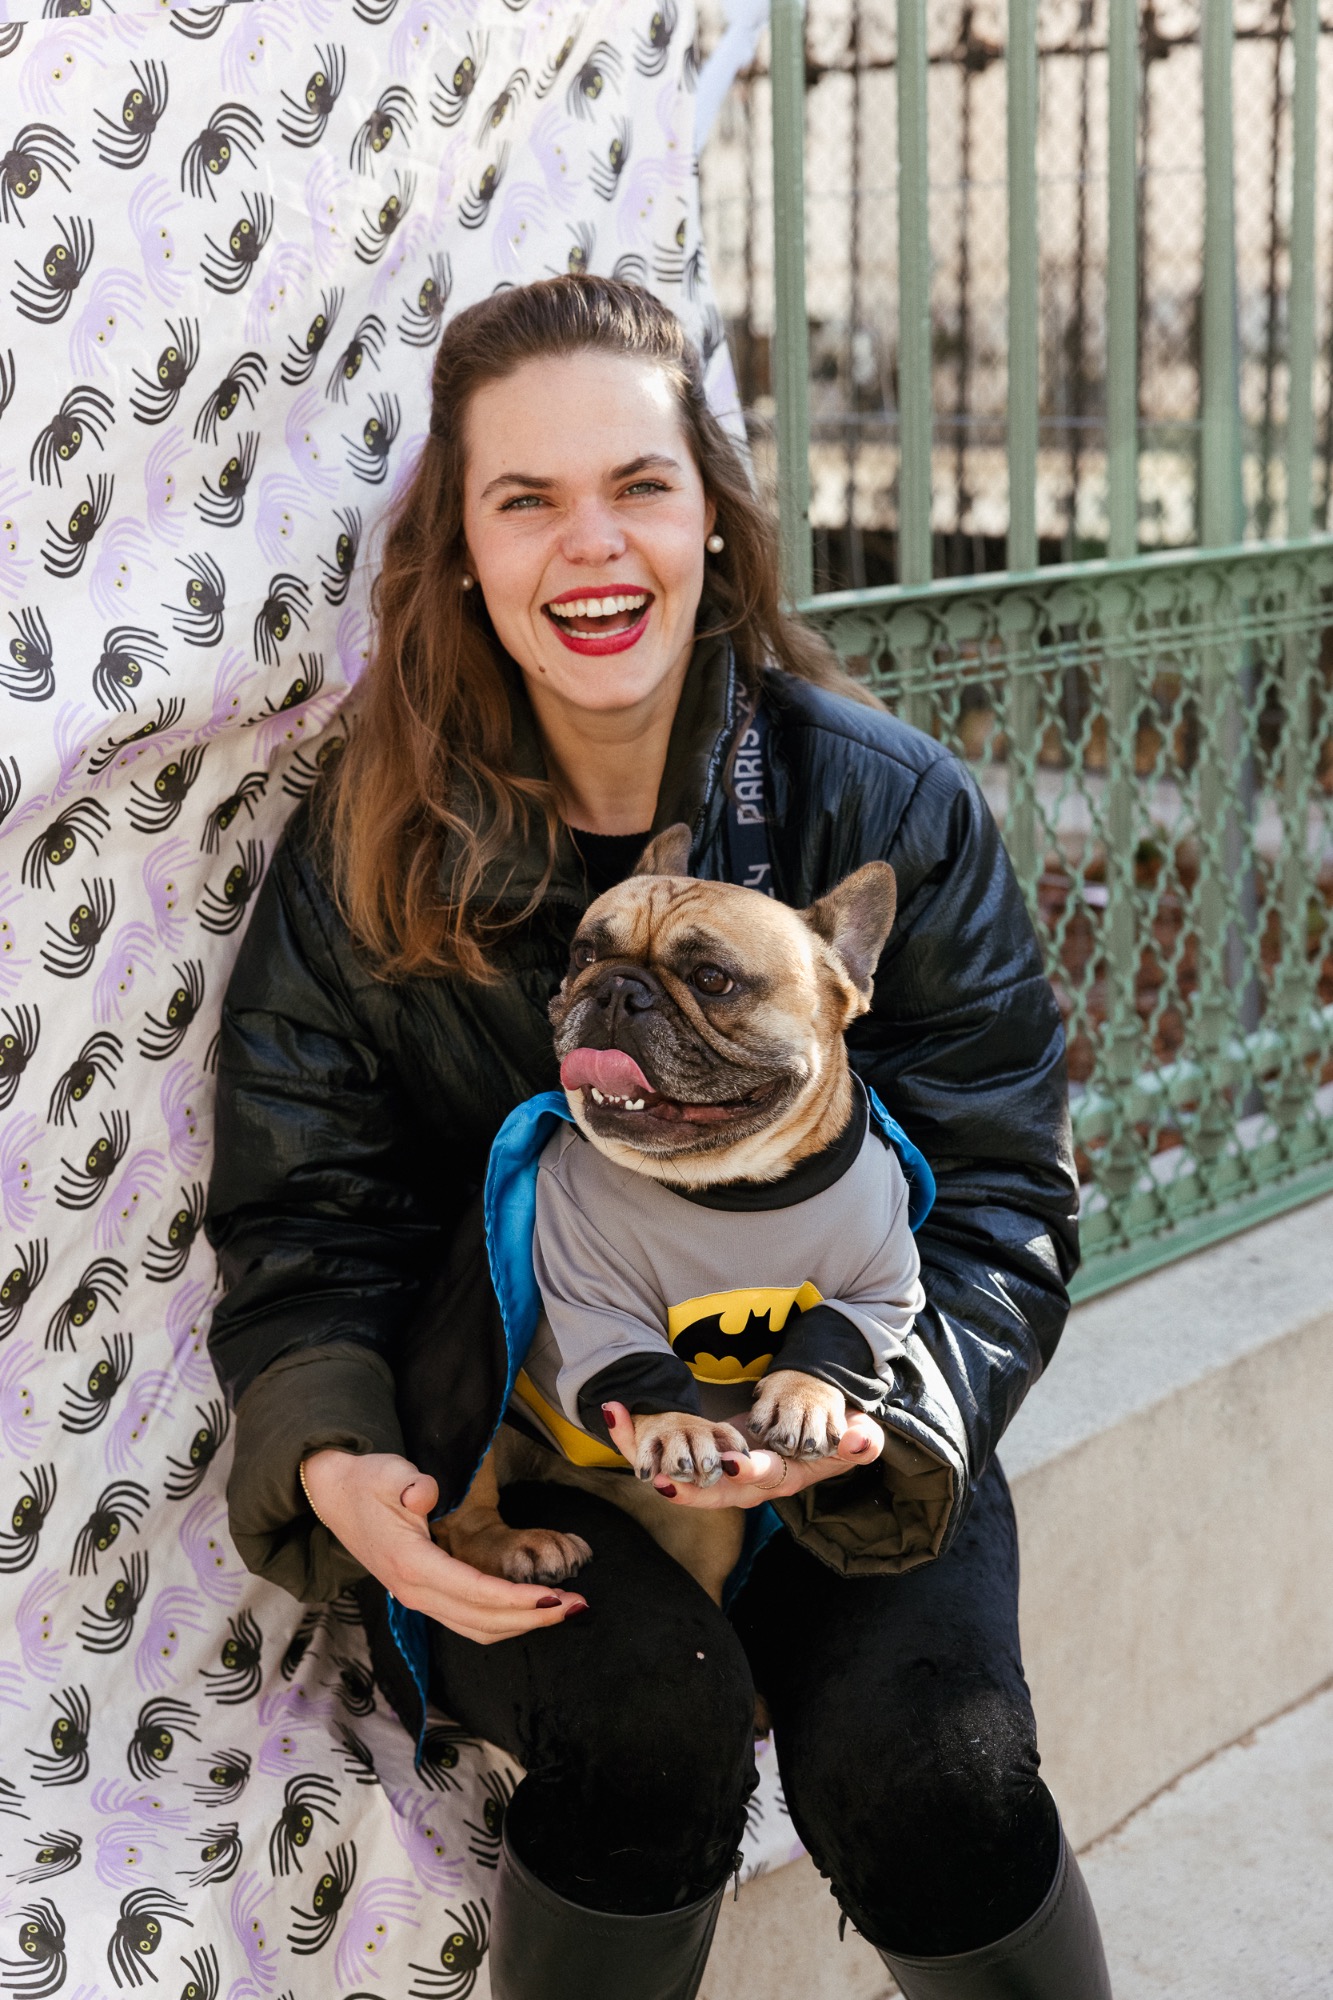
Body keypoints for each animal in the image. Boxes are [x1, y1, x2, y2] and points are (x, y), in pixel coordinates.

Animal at [434, 823, 922, 1604]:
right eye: (585, 954)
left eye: (712, 980)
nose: (614, 988)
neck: (731, 1185)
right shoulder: (591, 1296)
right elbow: (632, 1361)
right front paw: (678, 1425)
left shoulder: (882, 1285)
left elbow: (840, 1335)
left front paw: (806, 1395)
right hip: (480, 1444)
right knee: (462, 1521)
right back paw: (522, 1547)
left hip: (704, 1529)